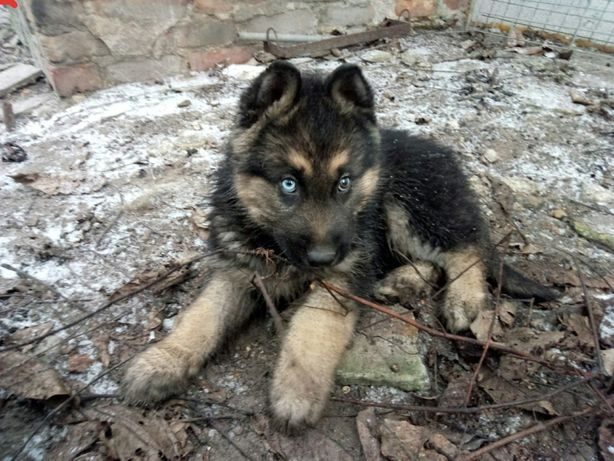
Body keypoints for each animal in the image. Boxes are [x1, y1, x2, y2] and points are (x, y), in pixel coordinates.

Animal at [121, 60, 560, 428]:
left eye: (344, 182)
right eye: (289, 184)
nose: (323, 257)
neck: (274, 243)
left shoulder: (344, 273)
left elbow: (314, 324)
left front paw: (296, 390)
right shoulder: (237, 270)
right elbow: (202, 315)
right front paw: (162, 361)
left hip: (408, 204)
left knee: (465, 248)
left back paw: (463, 299)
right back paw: (402, 281)